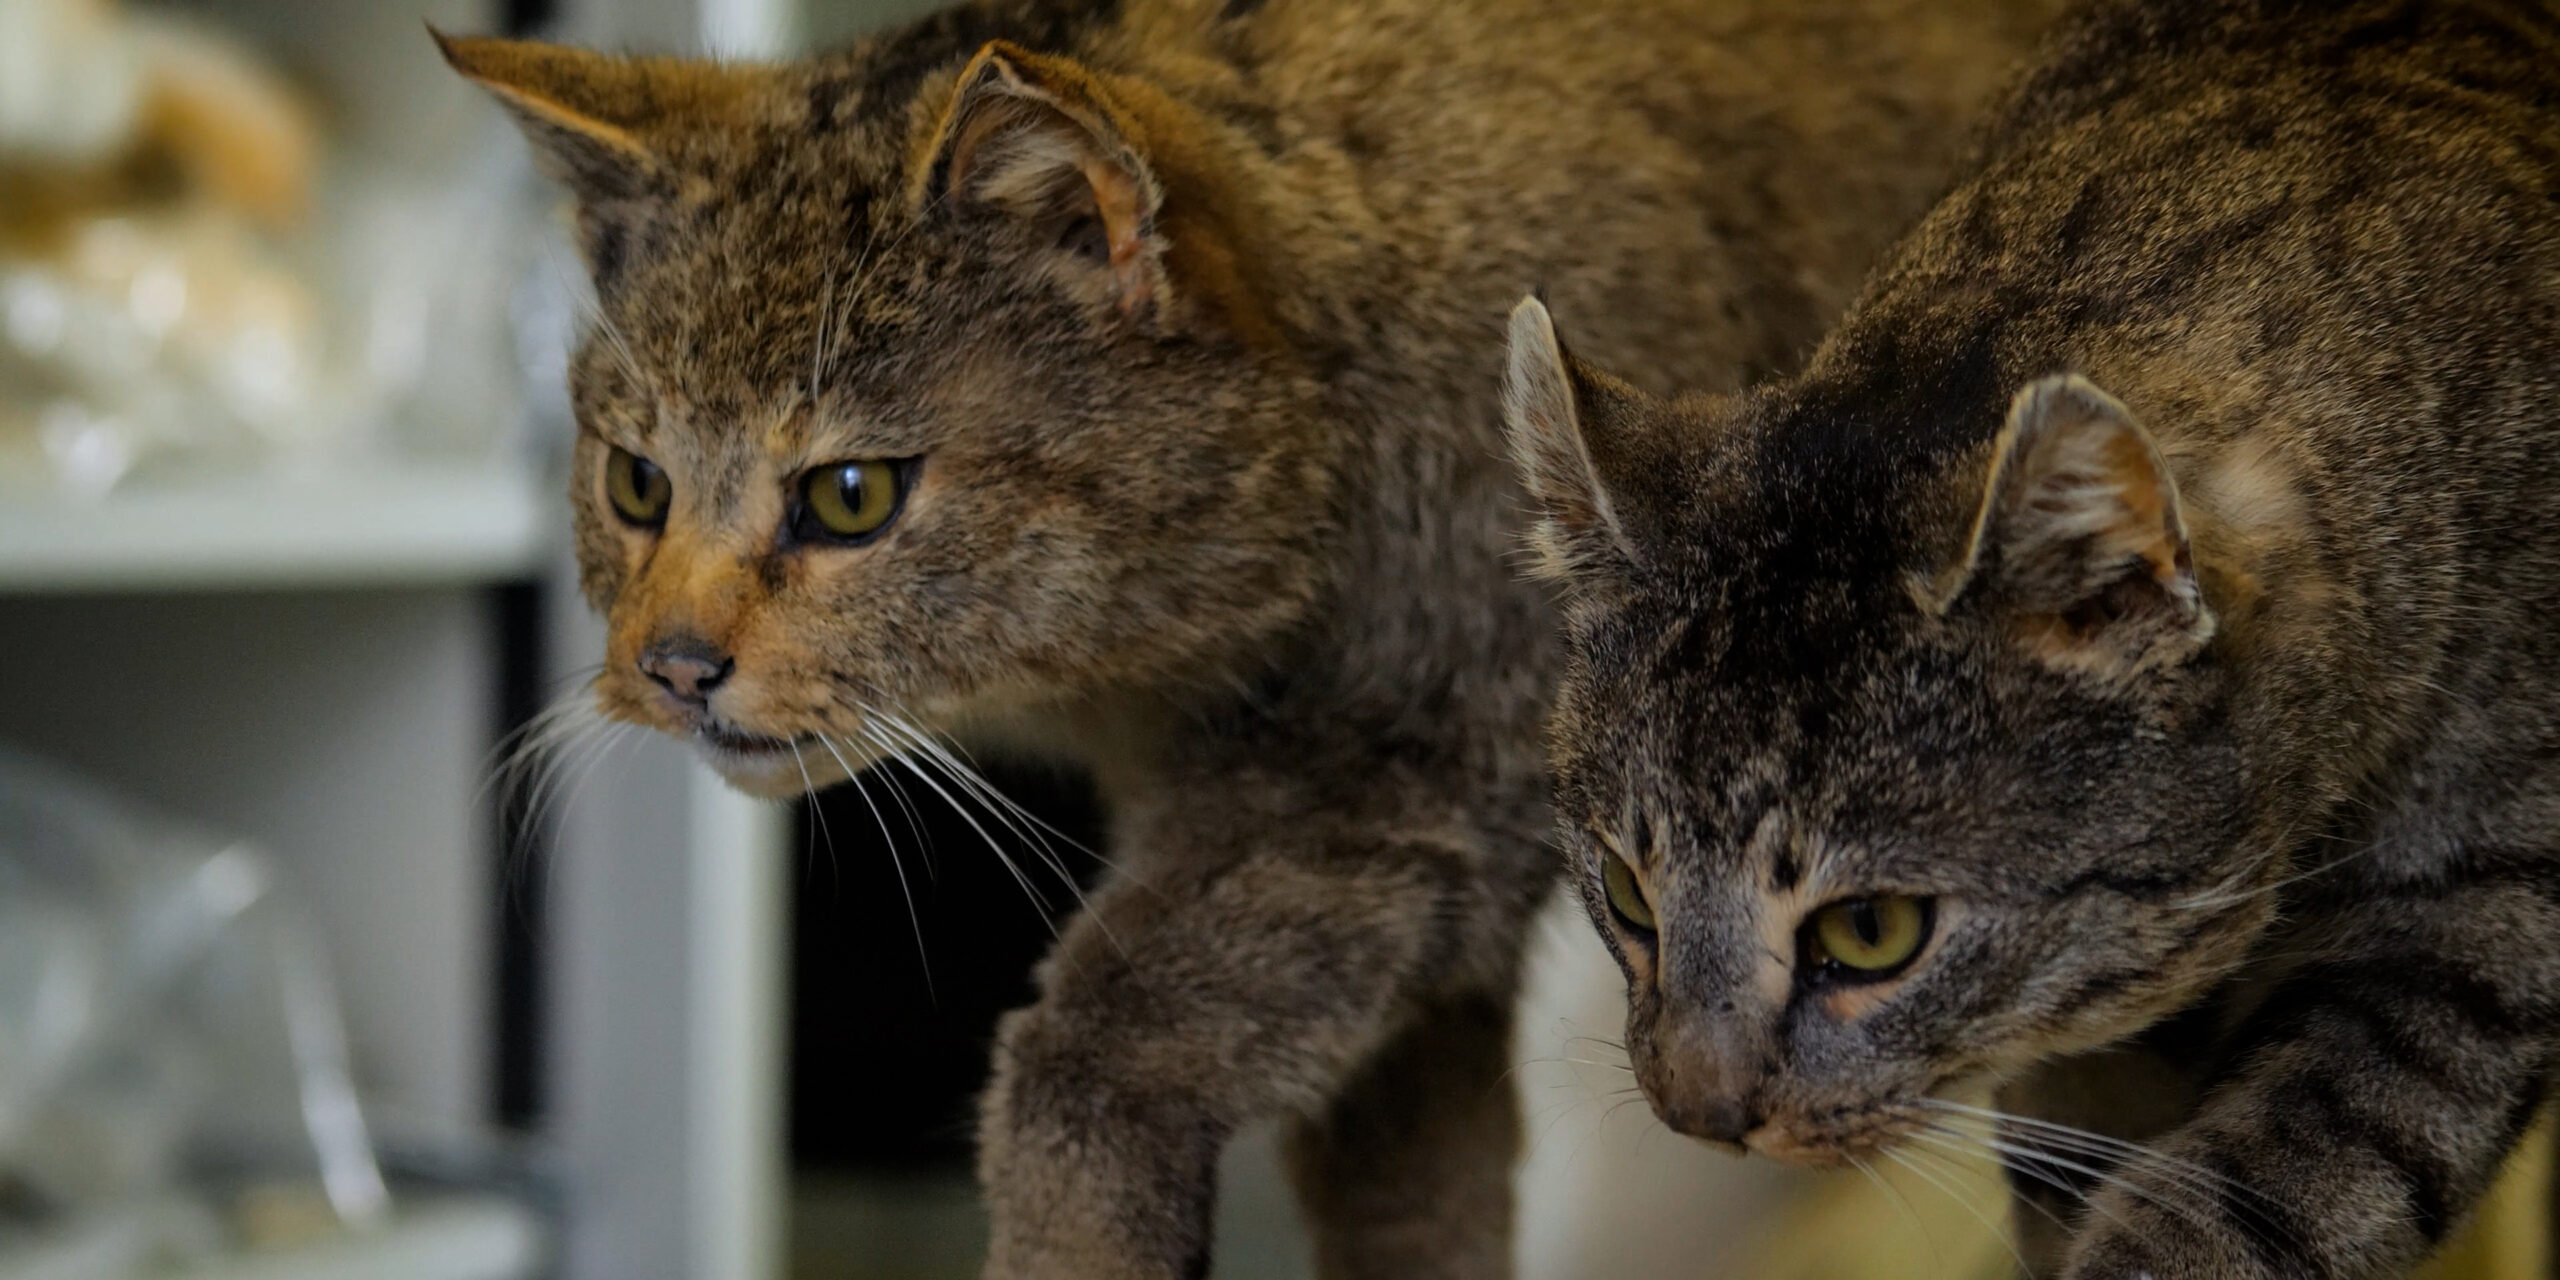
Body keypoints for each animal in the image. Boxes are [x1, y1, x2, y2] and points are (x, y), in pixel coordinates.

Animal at [445, 2, 2058, 1269]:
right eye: (635, 483)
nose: (669, 665)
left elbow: (1099, 1048)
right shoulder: (1416, 963)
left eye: (852, 496)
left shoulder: (1428, 788)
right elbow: (1414, 1199)